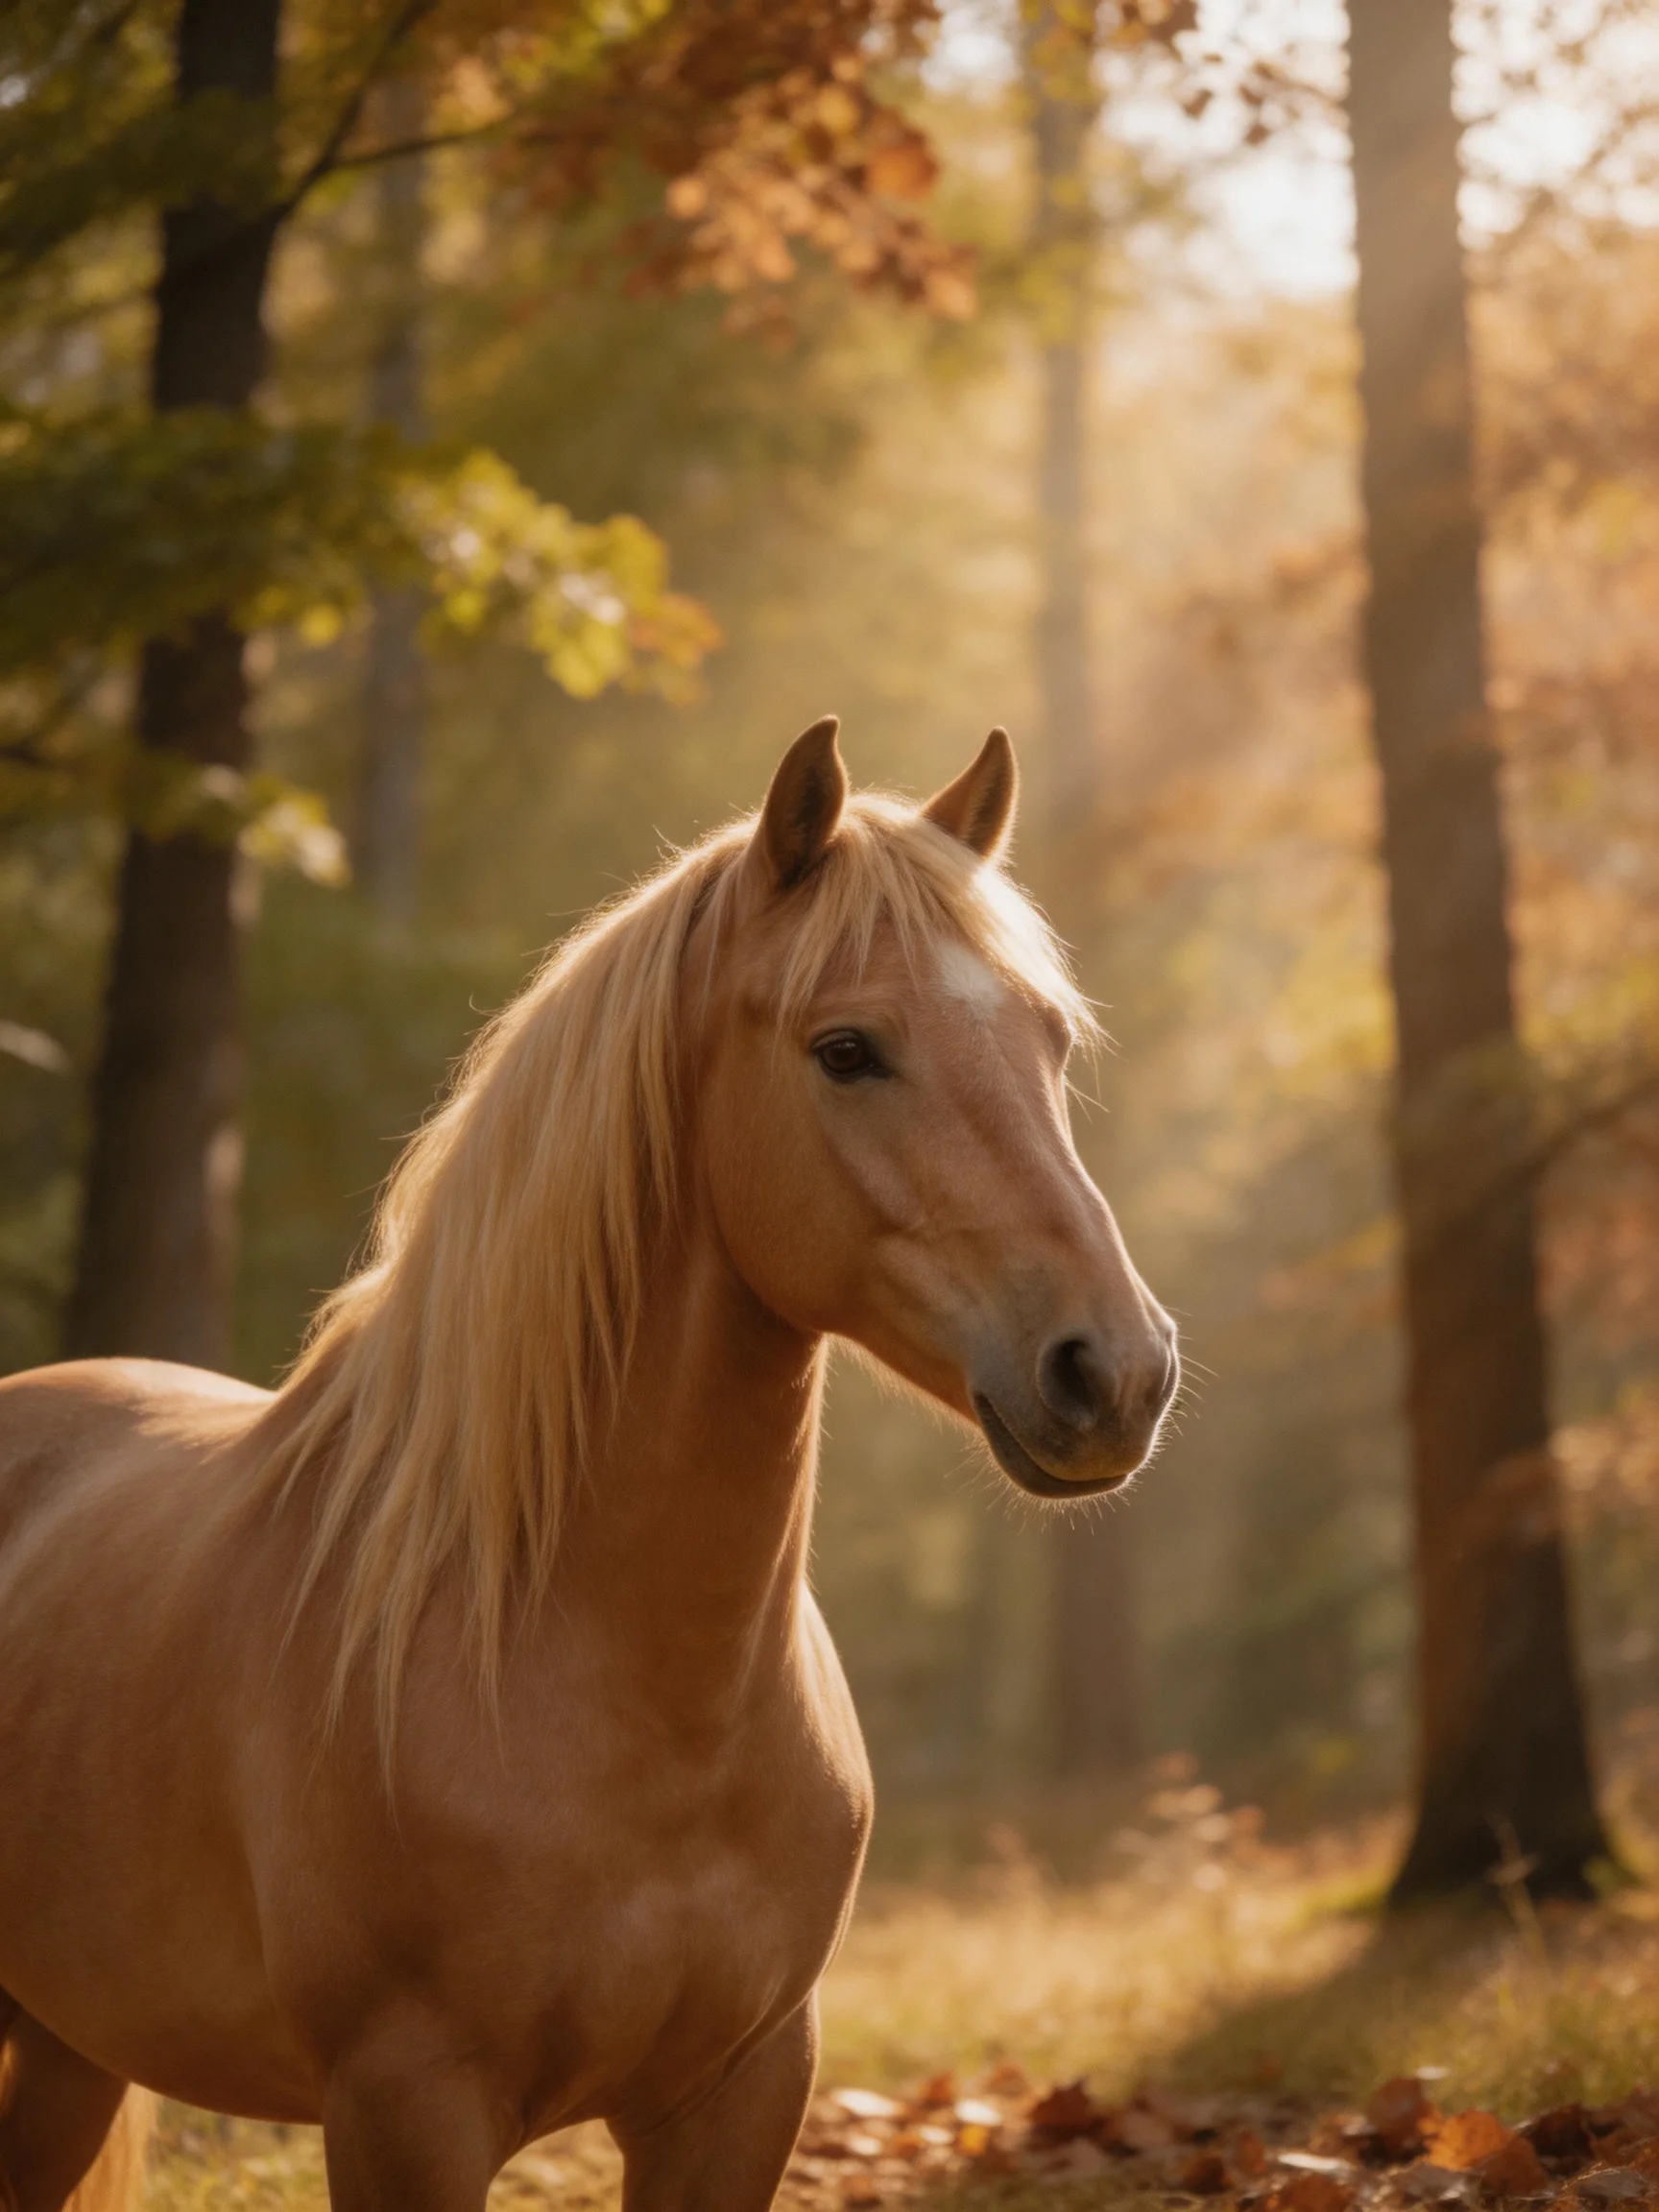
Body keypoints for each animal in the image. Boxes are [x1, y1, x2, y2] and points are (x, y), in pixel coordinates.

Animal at [0, 719, 1178, 2212]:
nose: (1116, 1372)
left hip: (69, 2047)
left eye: (1050, 1040)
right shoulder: (406, 2110)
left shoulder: (739, 2096)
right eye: (847, 1048)